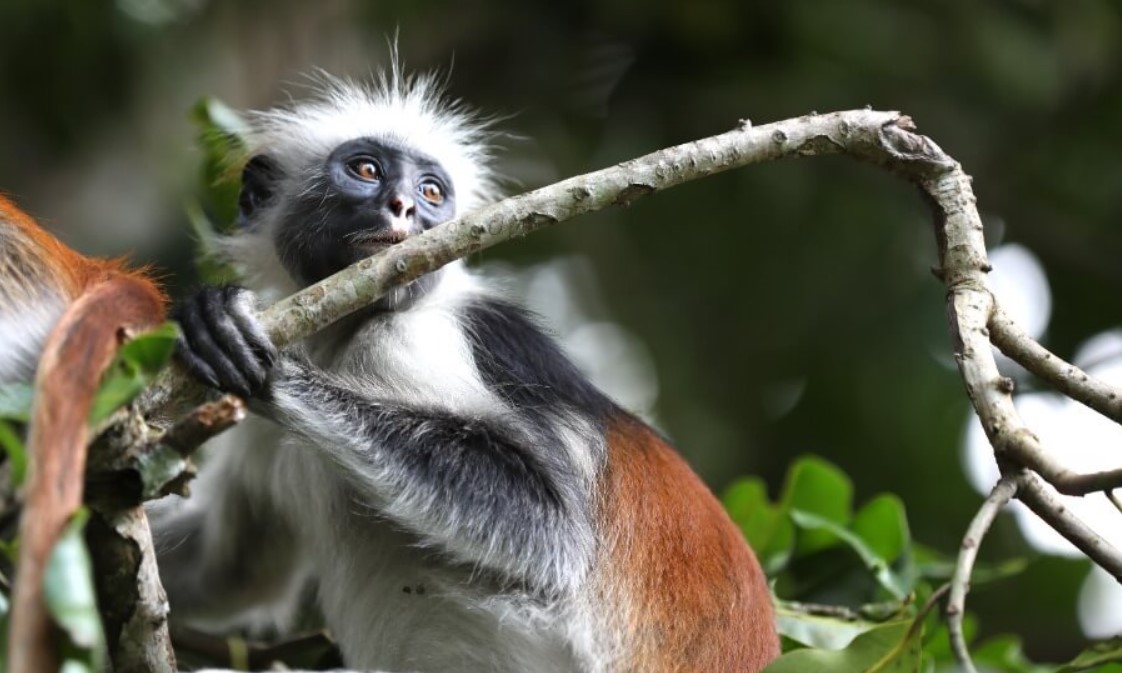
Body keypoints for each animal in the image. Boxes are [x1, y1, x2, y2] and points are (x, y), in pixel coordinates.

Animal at [152, 69, 780, 673]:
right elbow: (227, 571)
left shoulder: (413, 336)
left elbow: (552, 531)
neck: (338, 337)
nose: (403, 207)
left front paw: (258, 356)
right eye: (366, 169)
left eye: (431, 192)